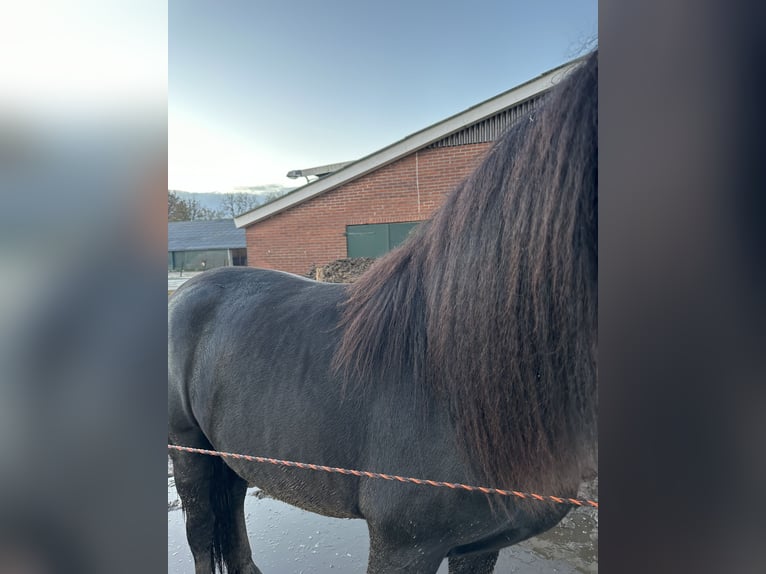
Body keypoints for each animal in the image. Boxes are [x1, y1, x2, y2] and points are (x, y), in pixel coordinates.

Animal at [170, 51, 600, 572]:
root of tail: (185, 292)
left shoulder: (482, 546)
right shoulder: (403, 546)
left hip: (230, 453)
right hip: (189, 453)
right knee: (201, 535)